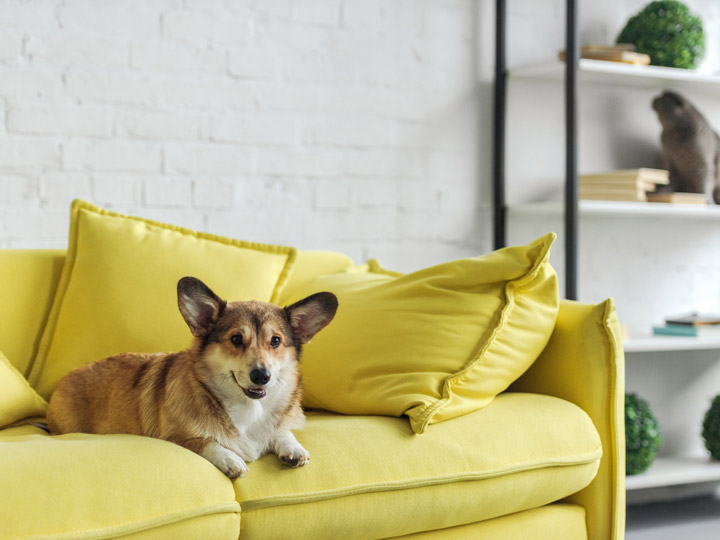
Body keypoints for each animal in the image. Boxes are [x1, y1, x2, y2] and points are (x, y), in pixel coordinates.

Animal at [46, 276, 338, 478]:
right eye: (236, 339)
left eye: (275, 341)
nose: (261, 376)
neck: (247, 409)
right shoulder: (175, 437)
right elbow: (207, 441)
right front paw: (231, 459)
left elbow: (282, 432)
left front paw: (293, 449)